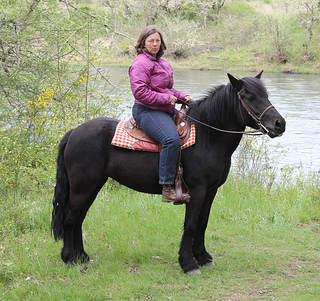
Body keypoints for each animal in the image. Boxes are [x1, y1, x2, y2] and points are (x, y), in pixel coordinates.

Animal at [52, 71, 284, 274]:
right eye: (250, 97)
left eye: (266, 95)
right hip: (83, 187)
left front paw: (203, 257)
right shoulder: (197, 191)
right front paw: (188, 263)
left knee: (79, 218)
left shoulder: (211, 191)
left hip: (93, 185)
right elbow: (190, 225)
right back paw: (70, 258)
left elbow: (202, 223)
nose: (280, 123)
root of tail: (74, 132)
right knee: (70, 218)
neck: (207, 137)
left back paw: (82, 256)